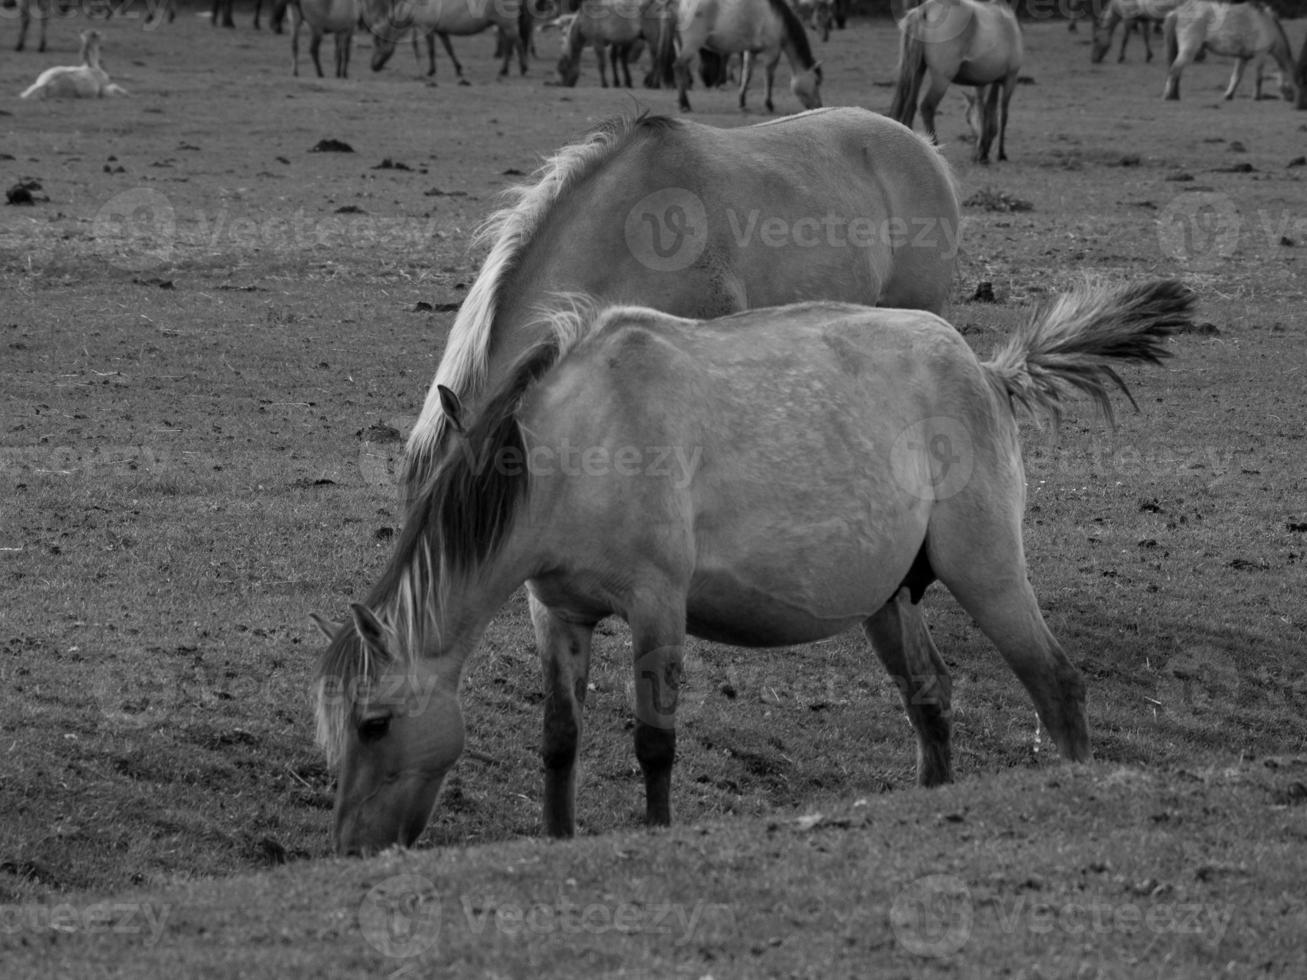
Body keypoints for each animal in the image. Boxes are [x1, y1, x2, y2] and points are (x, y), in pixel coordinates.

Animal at [363, 0, 530, 79]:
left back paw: (514, 68)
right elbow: (449, 49)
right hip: (504, 25)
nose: (373, 66)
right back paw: (513, 68)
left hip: (507, 24)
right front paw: (458, 68)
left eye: (379, 43)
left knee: (516, 43)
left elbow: (431, 50)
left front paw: (431, 71)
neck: (416, 4)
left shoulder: (427, 28)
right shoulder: (442, 31)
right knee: (512, 44)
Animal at [674, 0, 815, 112]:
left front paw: (742, 101)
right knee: (679, 66)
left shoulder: (751, 51)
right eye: (817, 81)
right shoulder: (772, 51)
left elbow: (747, 75)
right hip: (691, 44)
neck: (778, 19)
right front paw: (768, 104)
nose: (818, 106)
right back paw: (684, 104)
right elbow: (769, 78)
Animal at [893, 0, 1024, 163]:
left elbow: (985, 111)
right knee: (927, 106)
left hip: (917, 71)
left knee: (910, 106)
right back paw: (936, 149)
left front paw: (983, 151)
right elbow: (1002, 115)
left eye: (967, 120)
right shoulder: (1010, 79)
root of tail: (924, 9)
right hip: (942, 79)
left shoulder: (984, 82)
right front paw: (1000, 153)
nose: (975, 153)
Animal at [1165, 0, 1296, 102]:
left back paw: (1174, 96)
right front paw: (1256, 97)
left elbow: (1236, 77)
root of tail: (1177, 12)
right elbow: (1258, 77)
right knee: (1174, 70)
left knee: (1176, 72)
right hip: (1188, 51)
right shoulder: (1261, 54)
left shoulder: (1242, 57)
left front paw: (1229, 95)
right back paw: (1168, 96)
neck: (1269, 24)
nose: (1292, 99)